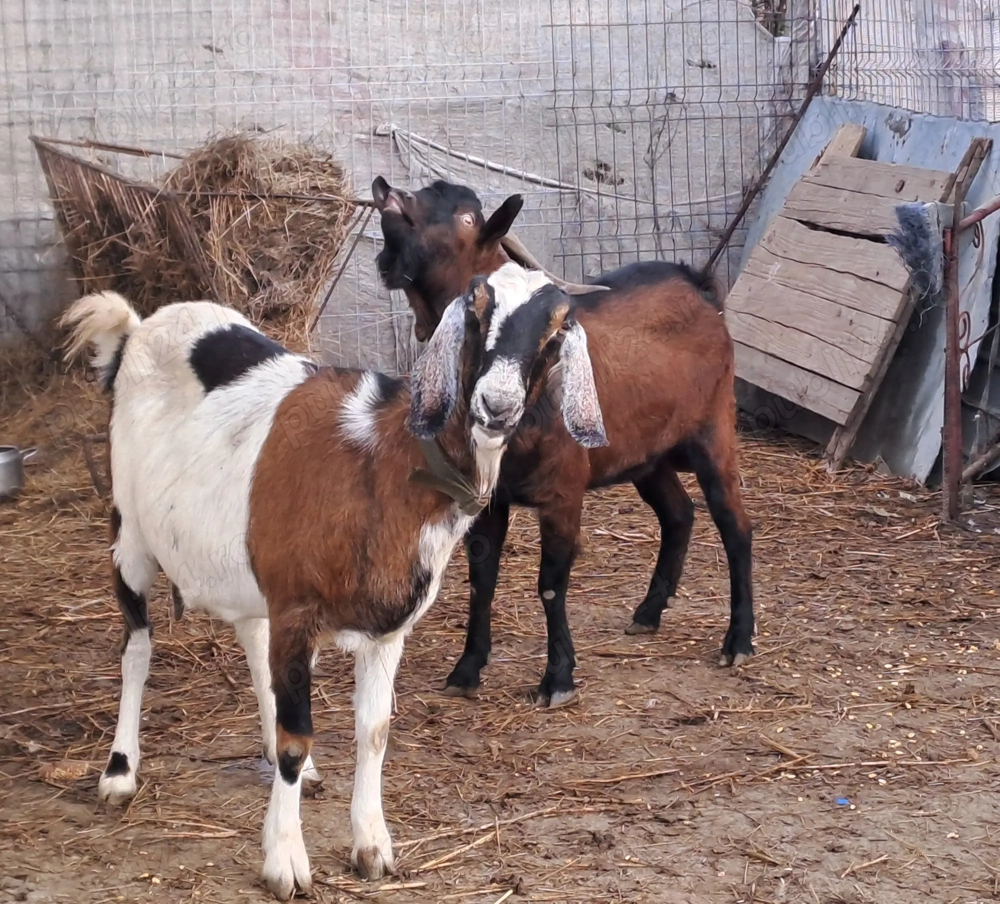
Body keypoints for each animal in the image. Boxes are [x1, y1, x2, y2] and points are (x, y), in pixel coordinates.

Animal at [59, 264, 606, 900]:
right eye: (475, 310)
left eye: (555, 331)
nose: (497, 404)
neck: (383, 464)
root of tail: (137, 329)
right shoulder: (298, 607)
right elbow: (299, 737)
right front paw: (285, 860)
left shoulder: (385, 629)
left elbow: (373, 731)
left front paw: (372, 846)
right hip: (130, 534)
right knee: (137, 648)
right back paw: (120, 771)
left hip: (251, 570)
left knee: (252, 643)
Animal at [372, 176, 754, 709]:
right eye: (476, 314)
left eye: (467, 217)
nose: (388, 189)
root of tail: (697, 283)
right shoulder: (488, 498)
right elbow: (482, 580)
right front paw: (467, 669)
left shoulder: (562, 494)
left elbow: (551, 585)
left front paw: (558, 679)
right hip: (646, 455)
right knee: (679, 514)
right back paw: (649, 612)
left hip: (713, 428)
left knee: (735, 525)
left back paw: (738, 640)